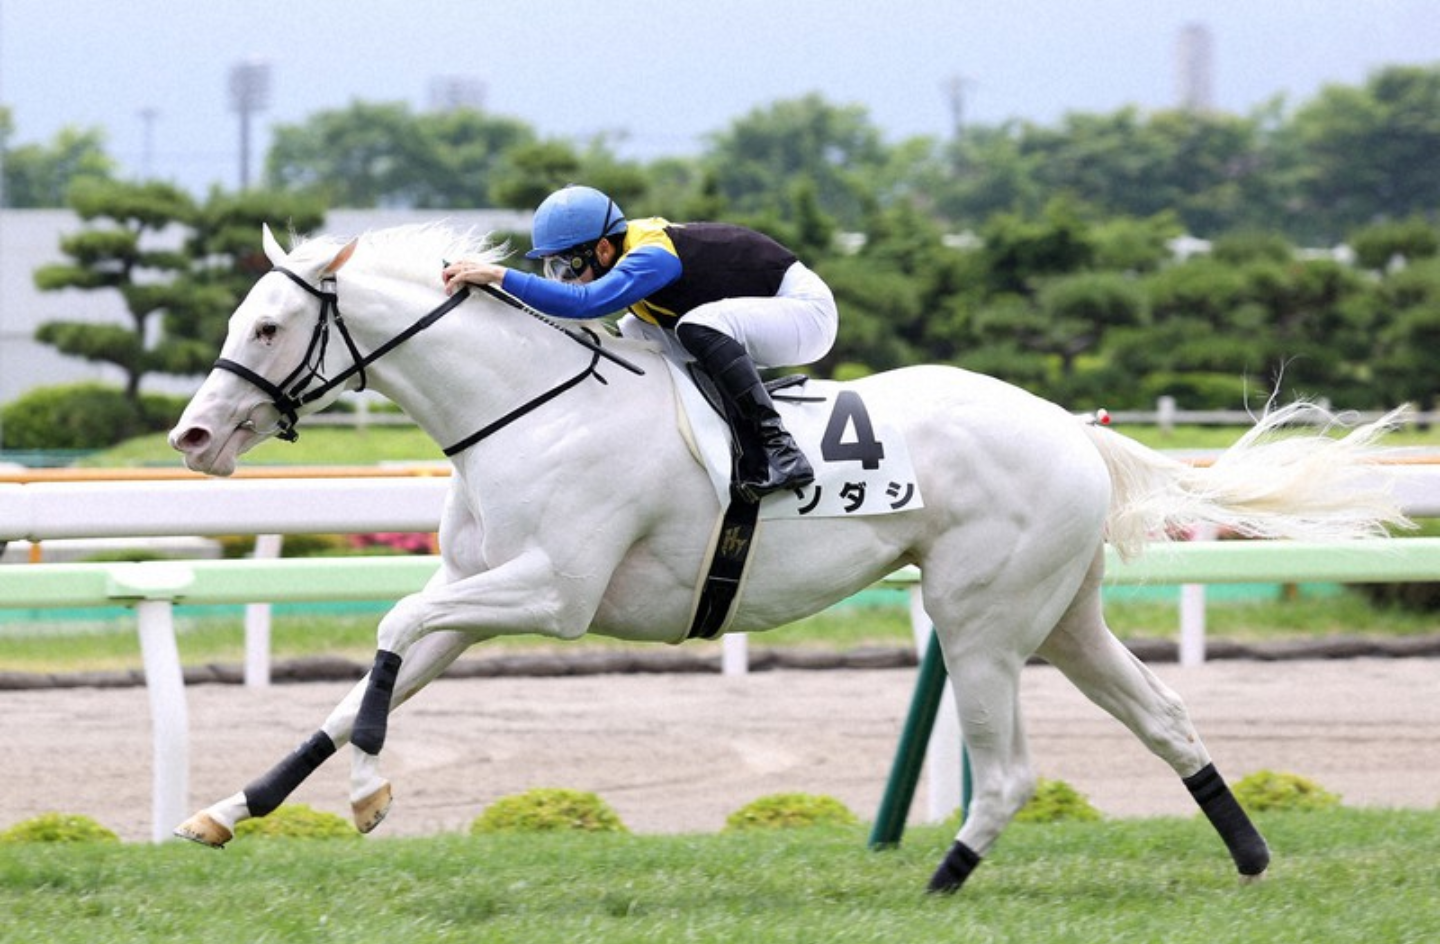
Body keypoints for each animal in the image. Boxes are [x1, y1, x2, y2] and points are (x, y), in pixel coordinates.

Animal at [168, 222, 1407, 894]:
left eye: (269, 326)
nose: (191, 435)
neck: (530, 406)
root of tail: (1072, 426)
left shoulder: (552, 592)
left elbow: (384, 639)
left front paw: (370, 793)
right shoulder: (472, 594)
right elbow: (359, 690)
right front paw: (231, 807)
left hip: (983, 619)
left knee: (1009, 769)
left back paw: (941, 878)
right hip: (1063, 614)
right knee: (1167, 719)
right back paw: (1249, 853)